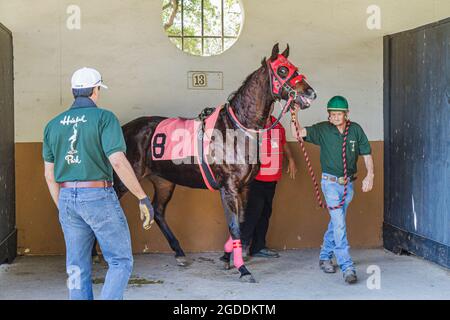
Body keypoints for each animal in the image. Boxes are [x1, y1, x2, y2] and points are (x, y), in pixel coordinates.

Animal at [94, 43, 314, 282]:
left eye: (294, 67)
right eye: (282, 70)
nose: (310, 93)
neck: (236, 129)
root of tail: (125, 128)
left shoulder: (244, 187)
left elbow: (240, 221)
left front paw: (226, 257)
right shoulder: (228, 187)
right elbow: (234, 226)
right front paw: (242, 269)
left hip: (164, 181)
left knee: (159, 212)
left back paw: (179, 253)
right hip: (124, 180)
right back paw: (96, 255)